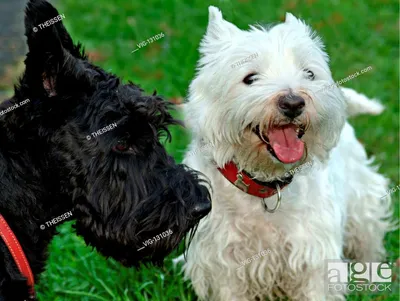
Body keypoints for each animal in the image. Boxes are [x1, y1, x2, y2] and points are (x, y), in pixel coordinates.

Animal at [180, 6, 396, 300]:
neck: (265, 186)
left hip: (362, 201)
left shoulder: (312, 253)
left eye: (309, 74)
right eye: (250, 78)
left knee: (367, 239)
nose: (293, 102)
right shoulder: (223, 262)